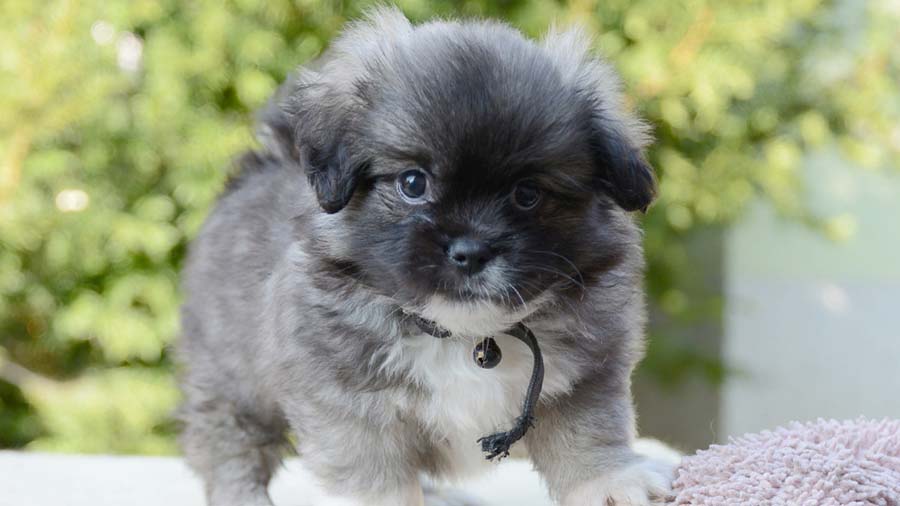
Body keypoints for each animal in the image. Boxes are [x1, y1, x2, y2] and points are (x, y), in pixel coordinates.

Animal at [179, 7, 676, 506]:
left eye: (527, 194)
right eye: (413, 183)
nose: (471, 251)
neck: (465, 334)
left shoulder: (586, 376)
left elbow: (587, 437)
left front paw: (609, 482)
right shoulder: (351, 409)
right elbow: (380, 482)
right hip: (232, 386)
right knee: (232, 450)